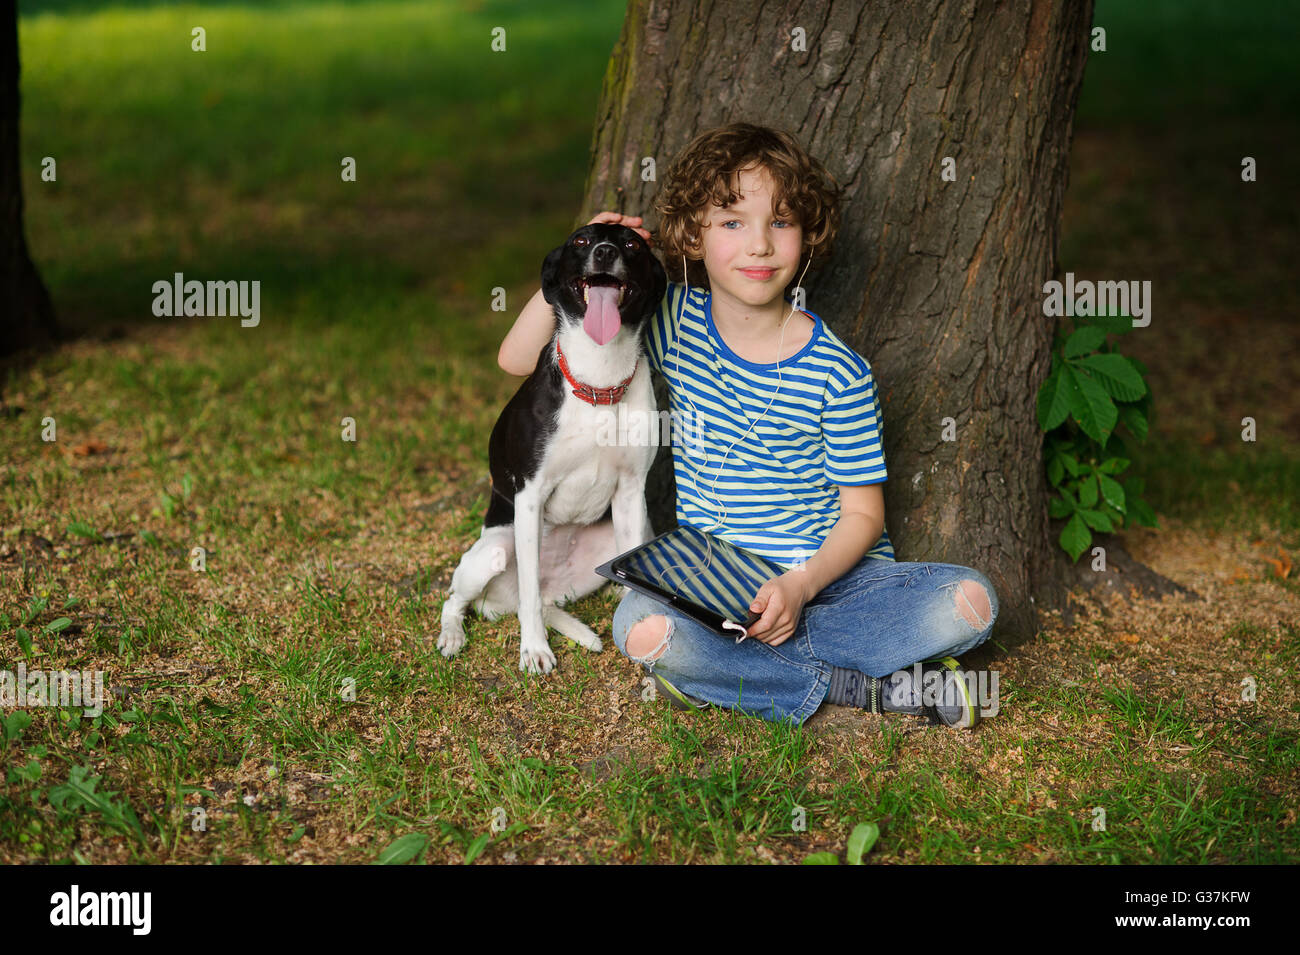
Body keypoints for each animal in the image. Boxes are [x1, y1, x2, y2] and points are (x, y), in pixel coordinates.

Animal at [439, 223, 670, 670]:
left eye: (632, 243)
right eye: (581, 241)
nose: (604, 252)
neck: (599, 382)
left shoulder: (631, 491)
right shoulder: (531, 495)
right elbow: (528, 595)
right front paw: (534, 649)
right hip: (493, 551)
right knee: (460, 599)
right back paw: (453, 635)